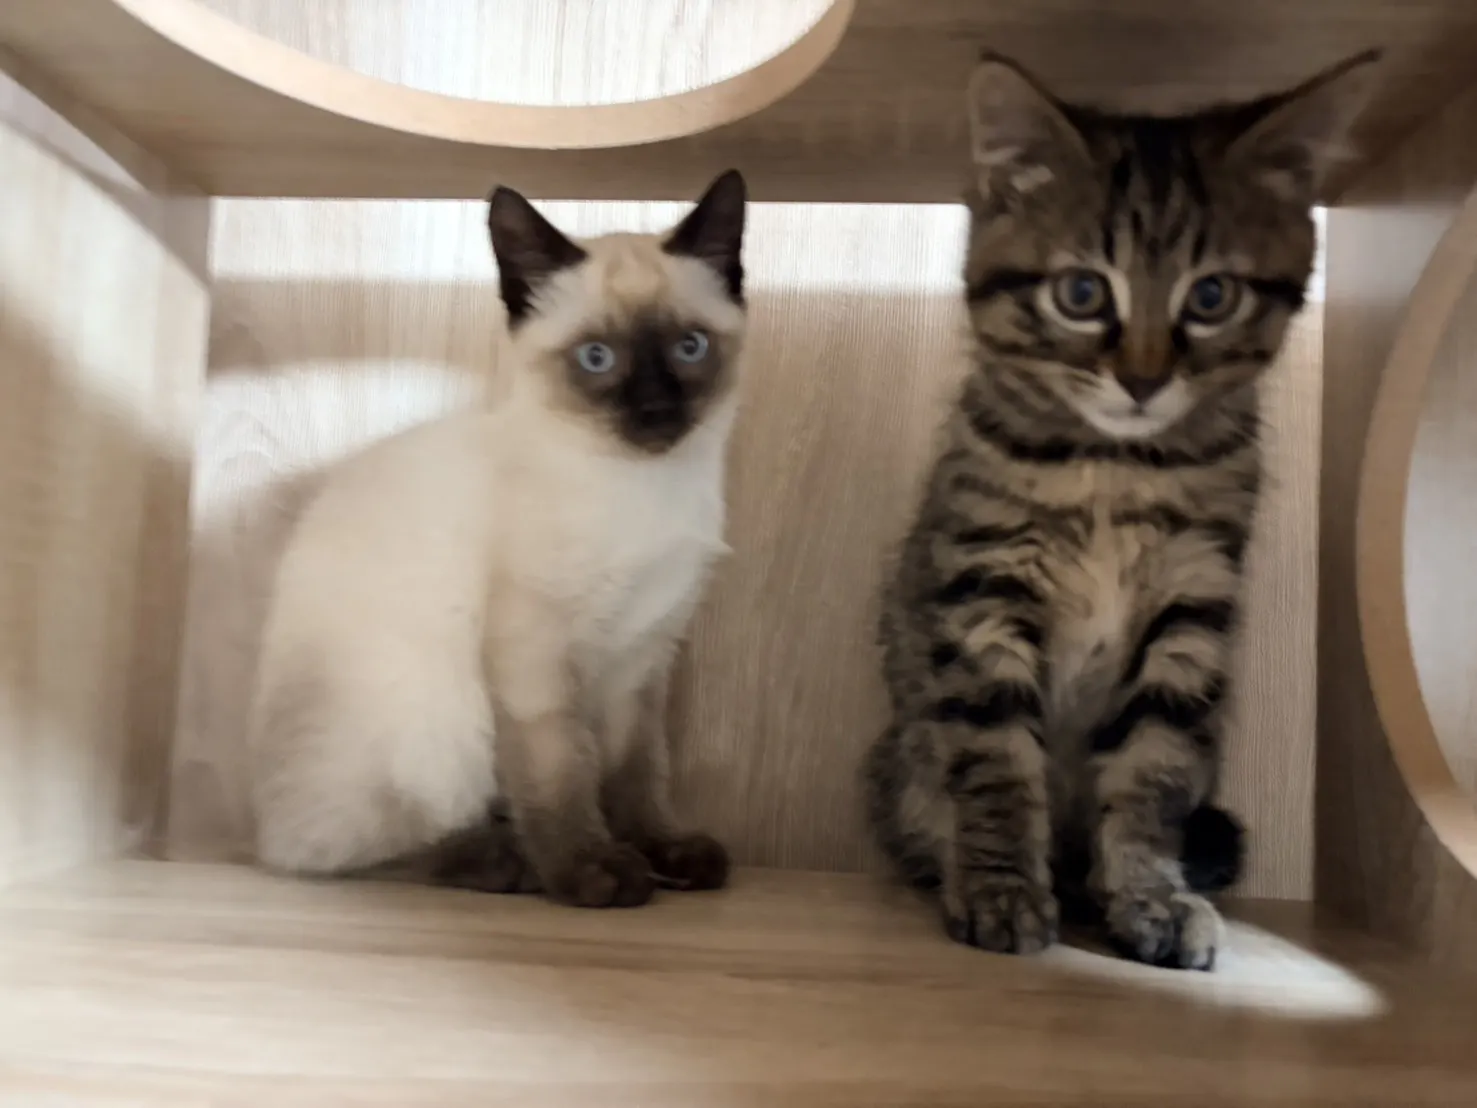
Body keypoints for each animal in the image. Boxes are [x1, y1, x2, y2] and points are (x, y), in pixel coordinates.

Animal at [247, 170, 749, 909]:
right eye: (596, 358)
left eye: (690, 347)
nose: (656, 411)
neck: (643, 487)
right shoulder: (536, 655)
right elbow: (563, 774)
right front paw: (594, 871)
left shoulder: (642, 654)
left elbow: (637, 773)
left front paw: (665, 851)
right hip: (437, 723)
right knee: (334, 857)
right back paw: (504, 863)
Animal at [865, 51, 1377, 969]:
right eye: (1079, 293)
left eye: (1210, 297)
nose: (1141, 379)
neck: (1114, 468)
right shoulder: (984, 589)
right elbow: (994, 759)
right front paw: (1000, 885)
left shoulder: (1191, 607)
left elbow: (1153, 770)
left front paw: (1150, 895)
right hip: (899, 764)